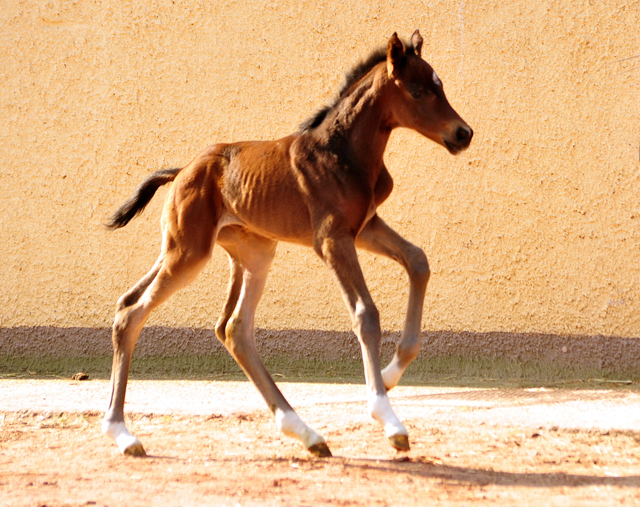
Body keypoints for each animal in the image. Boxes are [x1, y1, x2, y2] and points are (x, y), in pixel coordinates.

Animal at [104, 31, 470, 460]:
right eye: (417, 90)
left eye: (439, 85)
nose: (463, 134)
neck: (343, 150)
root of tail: (180, 172)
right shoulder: (331, 239)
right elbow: (366, 314)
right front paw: (388, 417)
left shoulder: (364, 228)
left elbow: (418, 260)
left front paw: (390, 374)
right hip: (189, 253)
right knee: (133, 315)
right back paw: (121, 432)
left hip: (247, 253)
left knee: (228, 327)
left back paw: (305, 432)